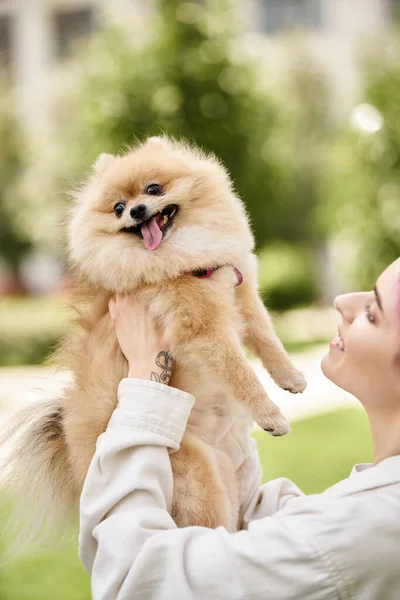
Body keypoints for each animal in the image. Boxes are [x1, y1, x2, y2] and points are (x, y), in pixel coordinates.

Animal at [0, 136, 306, 536]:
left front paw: (291, 377)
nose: (136, 210)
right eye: (117, 208)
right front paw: (271, 416)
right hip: (194, 472)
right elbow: (242, 373)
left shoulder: (241, 297)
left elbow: (268, 340)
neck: (180, 259)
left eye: (153, 189)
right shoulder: (203, 331)